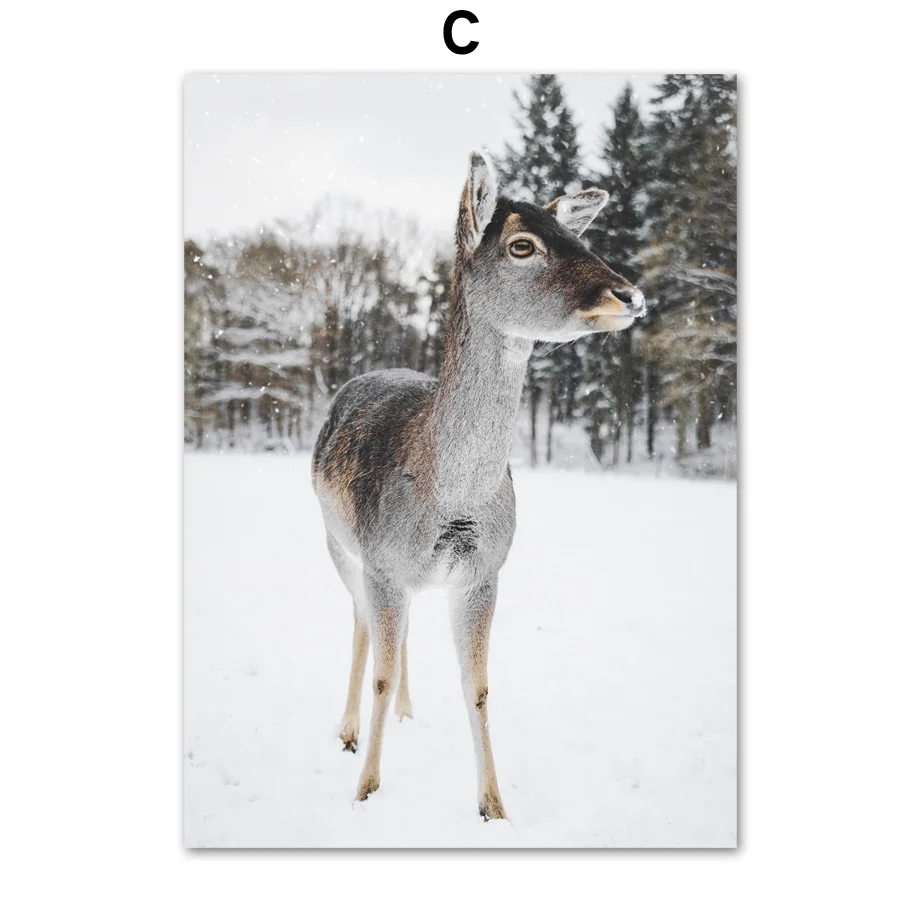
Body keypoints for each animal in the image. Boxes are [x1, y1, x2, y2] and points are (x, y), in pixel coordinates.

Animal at [311, 151, 645, 820]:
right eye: (522, 245)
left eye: (578, 234)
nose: (629, 293)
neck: (454, 502)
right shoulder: (382, 562)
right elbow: (381, 669)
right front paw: (366, 790)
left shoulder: (485, 570)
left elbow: (480, 686)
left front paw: (494, 805)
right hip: (337, 542)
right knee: (360, 623)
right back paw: (348, 730)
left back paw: (407, 712)